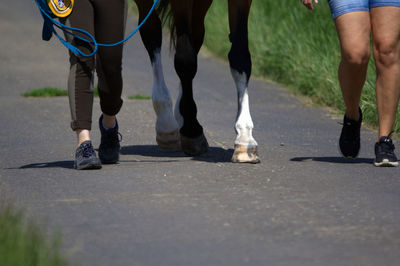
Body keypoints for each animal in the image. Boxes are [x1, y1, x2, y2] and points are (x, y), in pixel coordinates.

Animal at [134, 0, 260, 163]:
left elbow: (240, 56)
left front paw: (245, 139)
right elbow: (186, 60)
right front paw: (191, 130)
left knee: (195, 33)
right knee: (152, 31)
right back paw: (166, 123)